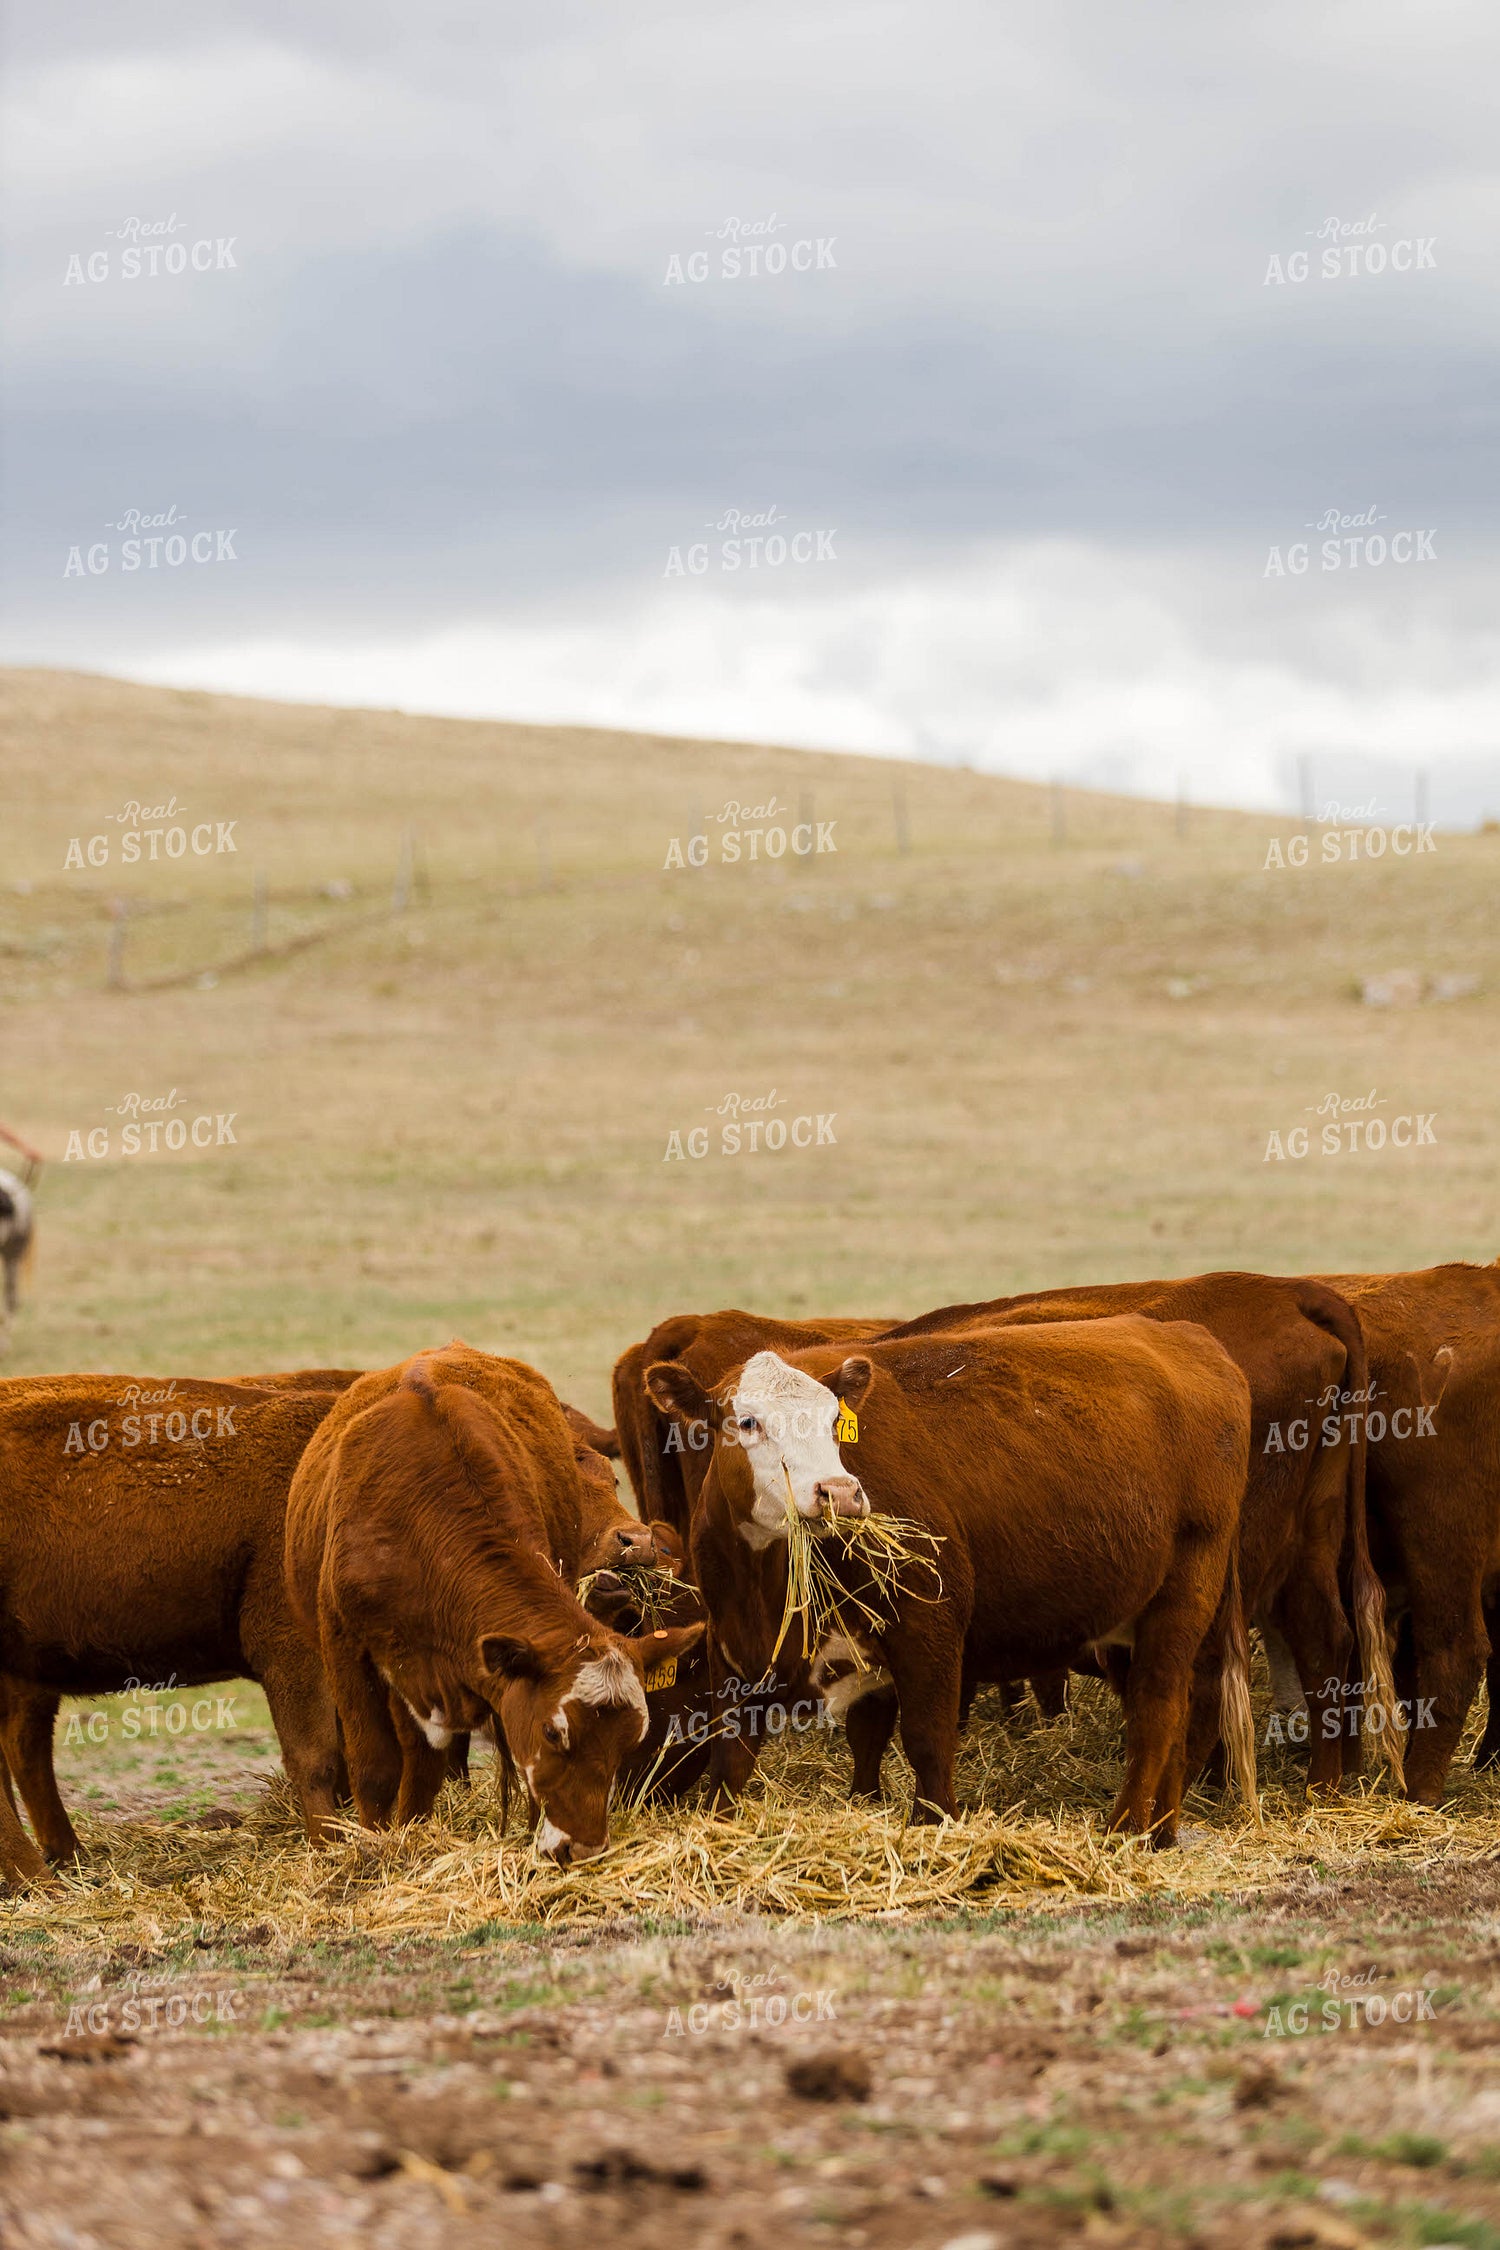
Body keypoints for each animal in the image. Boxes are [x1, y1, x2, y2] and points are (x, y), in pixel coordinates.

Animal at [284, 1348, 702, 1862]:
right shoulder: (344, 1648)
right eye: (552, 1732)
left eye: (631, 1739)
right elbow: (375, 1769)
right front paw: (376, 1852)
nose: (585, 1847)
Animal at [647, 1318, 1257, 1845]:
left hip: (1184, 1594)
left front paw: (932, 1824)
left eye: (833, 1423)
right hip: (1127, 1618)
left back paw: (1124, 1831)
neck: (764, 1587)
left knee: (1157, 1710)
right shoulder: (732, 1650)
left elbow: (928, 1741)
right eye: (748, 1421)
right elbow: (741, 1758)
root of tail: (1189, 1337)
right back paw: (1161, 1834)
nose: (839, 1492)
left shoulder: (929, 1625)